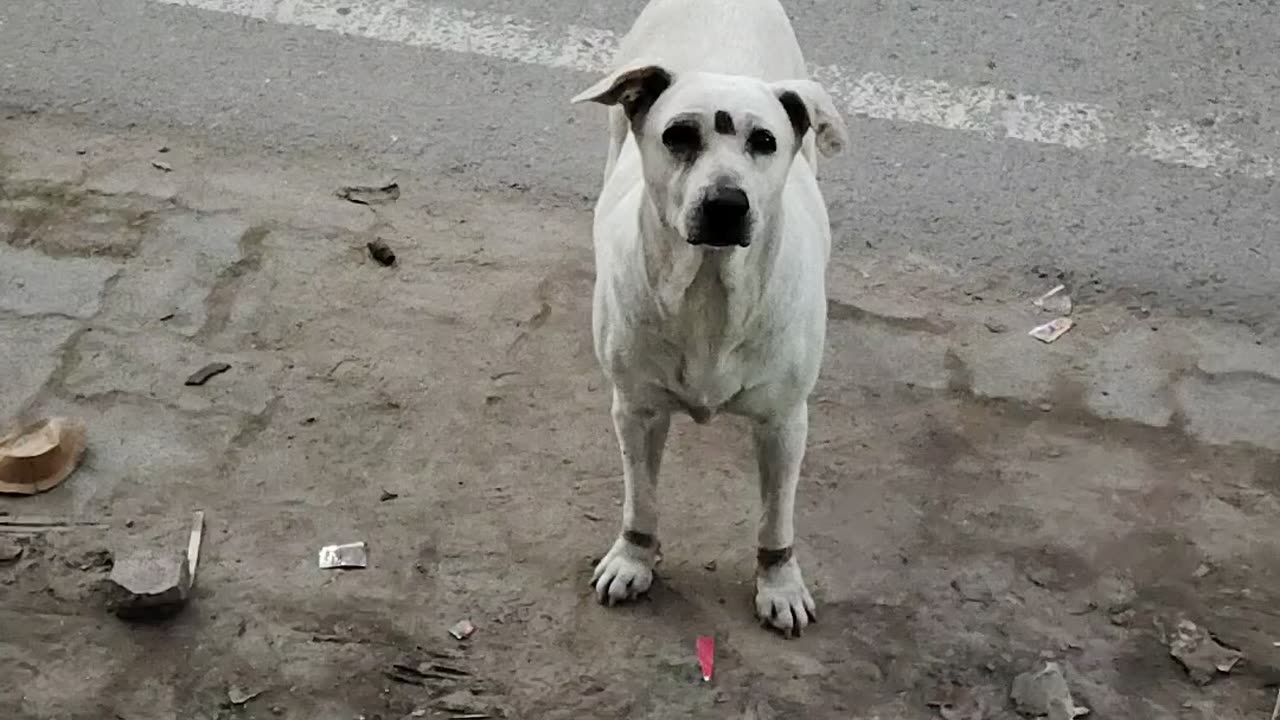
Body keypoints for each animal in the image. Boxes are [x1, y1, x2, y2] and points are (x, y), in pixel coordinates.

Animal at [576, 0, 844, 632]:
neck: (708, 290)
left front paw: (779, 582)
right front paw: (633, 557)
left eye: (764, 140)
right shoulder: (636, 409)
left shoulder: (784, 422)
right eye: (678, 135)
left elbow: (777, 515)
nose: (726, 203)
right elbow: (641, 496)